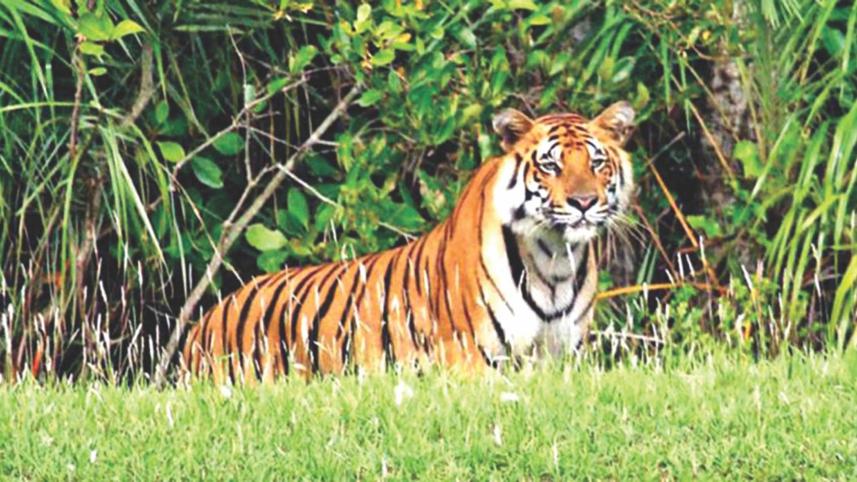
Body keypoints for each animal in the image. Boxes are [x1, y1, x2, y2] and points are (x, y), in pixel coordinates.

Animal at [181, 101, 636, 382]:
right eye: (550, 166)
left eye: (596, 162)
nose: (583, 202)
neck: (554, 258)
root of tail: (200, 325)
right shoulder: (469, 359)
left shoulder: (562, 360)